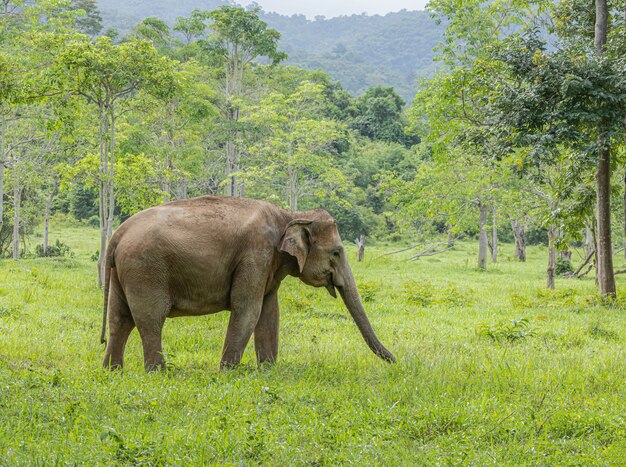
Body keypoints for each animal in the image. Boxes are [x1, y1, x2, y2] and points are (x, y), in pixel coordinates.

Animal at [101, 196, 394, 372]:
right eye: (336, 252)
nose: (394, 361)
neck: (290, 214)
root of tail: (117, 235)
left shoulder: (269, 263)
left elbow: (269, 312)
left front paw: (268, 369)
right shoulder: (256, 254)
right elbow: (248, 309)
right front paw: (226, 372)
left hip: (122, 273)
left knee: (120, 319)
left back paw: (112, 371)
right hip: (146, 269)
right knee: (150, 319)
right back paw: (159, 373)